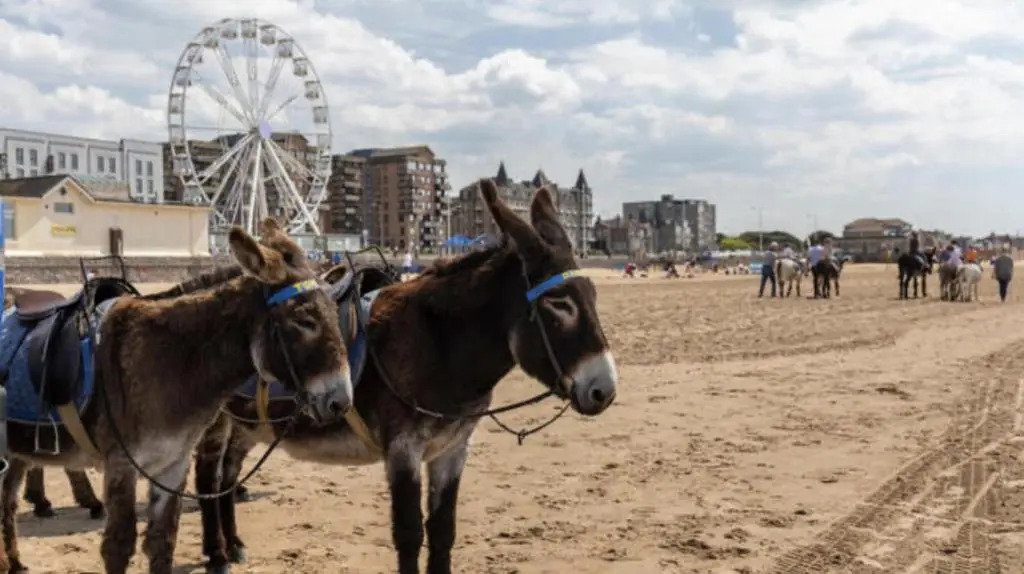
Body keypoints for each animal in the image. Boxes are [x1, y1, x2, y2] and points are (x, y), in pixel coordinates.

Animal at [0, 218, 353, 574]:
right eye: (305, 320)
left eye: (335, 311)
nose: (341, 402)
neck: (168, 361)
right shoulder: (121, 465)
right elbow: (118, 547)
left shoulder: (173, 464)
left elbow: (162, 541)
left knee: (7, 500)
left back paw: (15, 561)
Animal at [192, 179, 620, 574]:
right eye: (559, 304)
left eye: (593, 297)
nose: (605, 391)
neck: (438, 343)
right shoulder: (403, 450)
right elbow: (410, 533)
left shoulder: (452, 450)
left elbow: (443, 531)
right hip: (214, 420)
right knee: (208, 477)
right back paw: (217, 555)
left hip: (249, 423)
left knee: (229, 473)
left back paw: (234, 544)